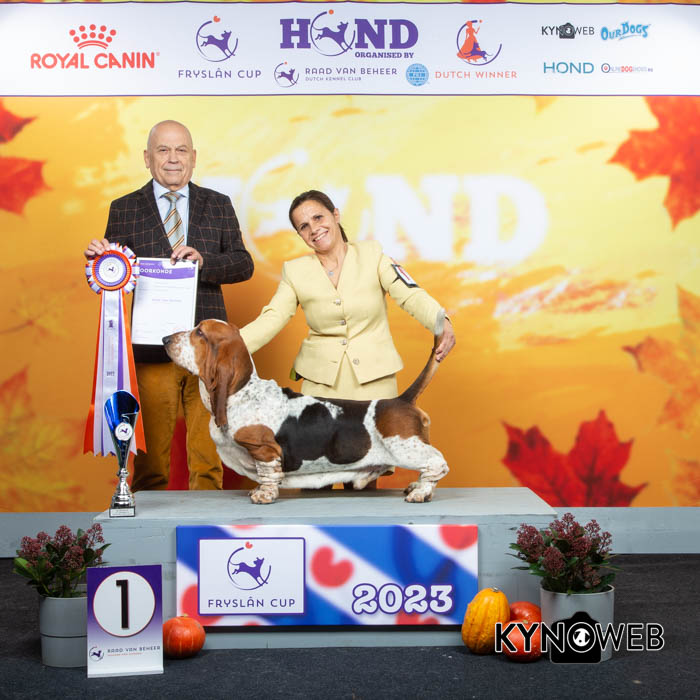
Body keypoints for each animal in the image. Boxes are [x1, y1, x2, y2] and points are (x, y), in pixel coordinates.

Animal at [163, 320, 449, 504]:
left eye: (200, 332)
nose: (165, 339)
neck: (242, 392)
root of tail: (402, 400)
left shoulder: (265, 450)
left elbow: (268, 476)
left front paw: (263, 495)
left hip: (404, 448)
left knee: (437, 464)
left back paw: (420, 493)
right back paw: (417, 487)